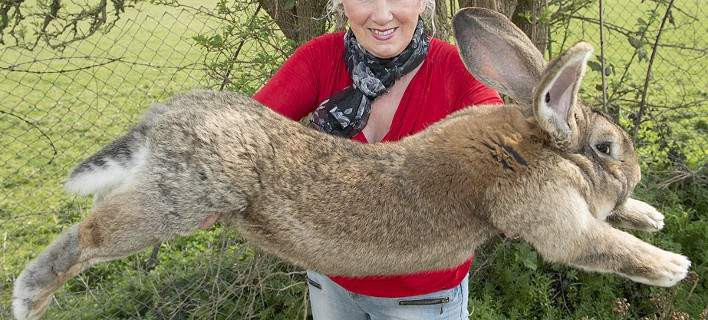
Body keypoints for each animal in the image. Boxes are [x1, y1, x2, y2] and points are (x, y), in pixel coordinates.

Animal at [11, 7, 688, 320]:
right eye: (606, 148)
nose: (634, 174)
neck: (531, 145)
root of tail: (163, 122)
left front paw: (650, 216)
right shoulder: (550, 217)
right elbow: (599, 245)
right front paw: (672, 266)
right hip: (180, 200)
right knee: (89, 235)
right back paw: (29, 296)